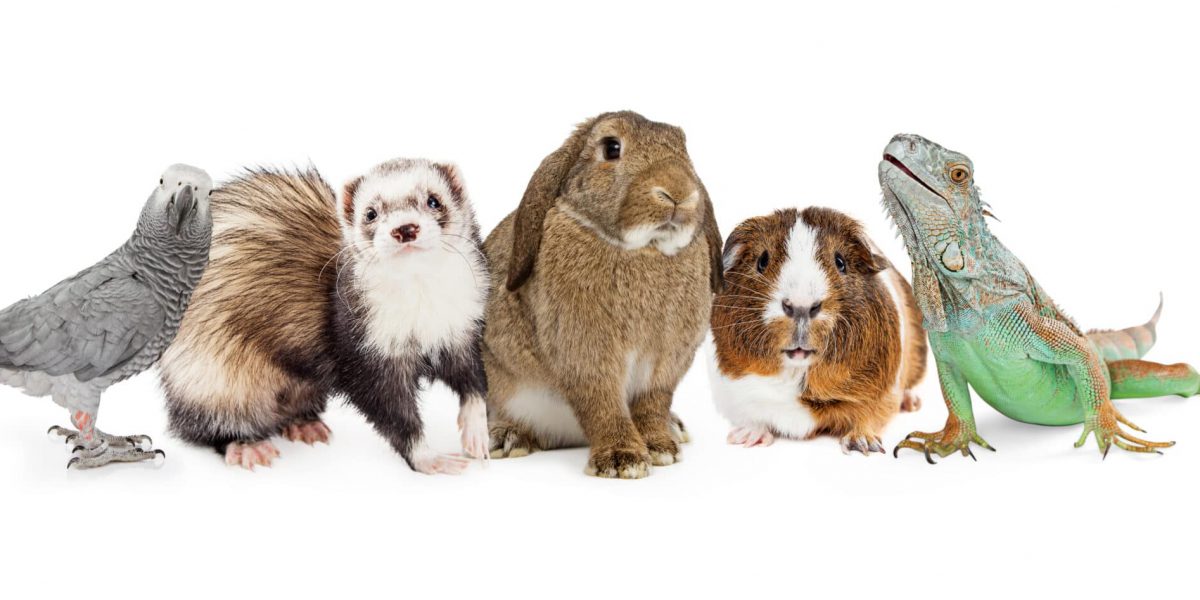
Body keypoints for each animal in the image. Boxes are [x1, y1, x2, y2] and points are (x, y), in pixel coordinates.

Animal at [480, 111, 720, 477]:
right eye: (611, 148)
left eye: (684, 149)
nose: (678, 193)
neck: (643, 249)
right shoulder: (587, 356)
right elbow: (604, 405)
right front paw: (623, 460)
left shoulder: (663, 364)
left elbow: (652, 403)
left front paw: (660, 448)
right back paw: (509, 438)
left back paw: (674, 427)